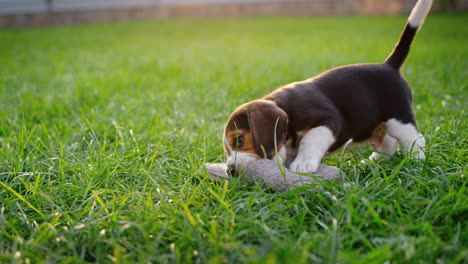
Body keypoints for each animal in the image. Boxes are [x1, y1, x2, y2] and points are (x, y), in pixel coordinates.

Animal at [223, 0, 432, 174]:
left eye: (239, 140)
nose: (230, 171)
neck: (286, 107)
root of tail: (389, 65)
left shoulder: (328, 120)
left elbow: (309, 140)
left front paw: (303, 164)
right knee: (387, 144)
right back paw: (372, 163)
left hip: (398, 118)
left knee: (415, 140)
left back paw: (416, 163)